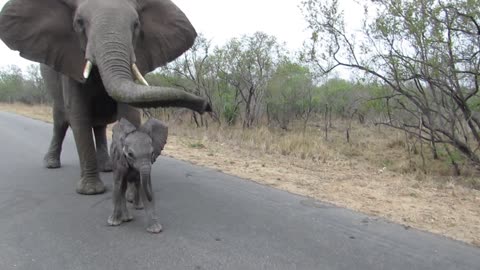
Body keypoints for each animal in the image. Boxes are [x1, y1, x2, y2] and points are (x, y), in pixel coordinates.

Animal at [0, 0, 210, 194]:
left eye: (136, 25)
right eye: (79, 23)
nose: (207, 105)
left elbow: (128, 113)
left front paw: (132, 192)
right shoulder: (70, 62)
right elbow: (78, 115)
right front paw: (91, 190)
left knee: (99, 126)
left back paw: (107, 167)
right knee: (60, 122)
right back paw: (51, 164)